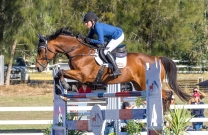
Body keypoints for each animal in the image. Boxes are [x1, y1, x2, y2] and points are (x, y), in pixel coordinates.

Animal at [35, 27, 190, 110]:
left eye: (41, 50)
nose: (38, 67)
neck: (79, 51)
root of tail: (157, 58)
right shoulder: (81, 76)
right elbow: (61, 75)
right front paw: (65, 90)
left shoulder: (83, 74)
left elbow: (61, 72)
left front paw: (66, 86)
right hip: (139, 86)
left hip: (147, 83)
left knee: (168, 94)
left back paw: (165, 111)